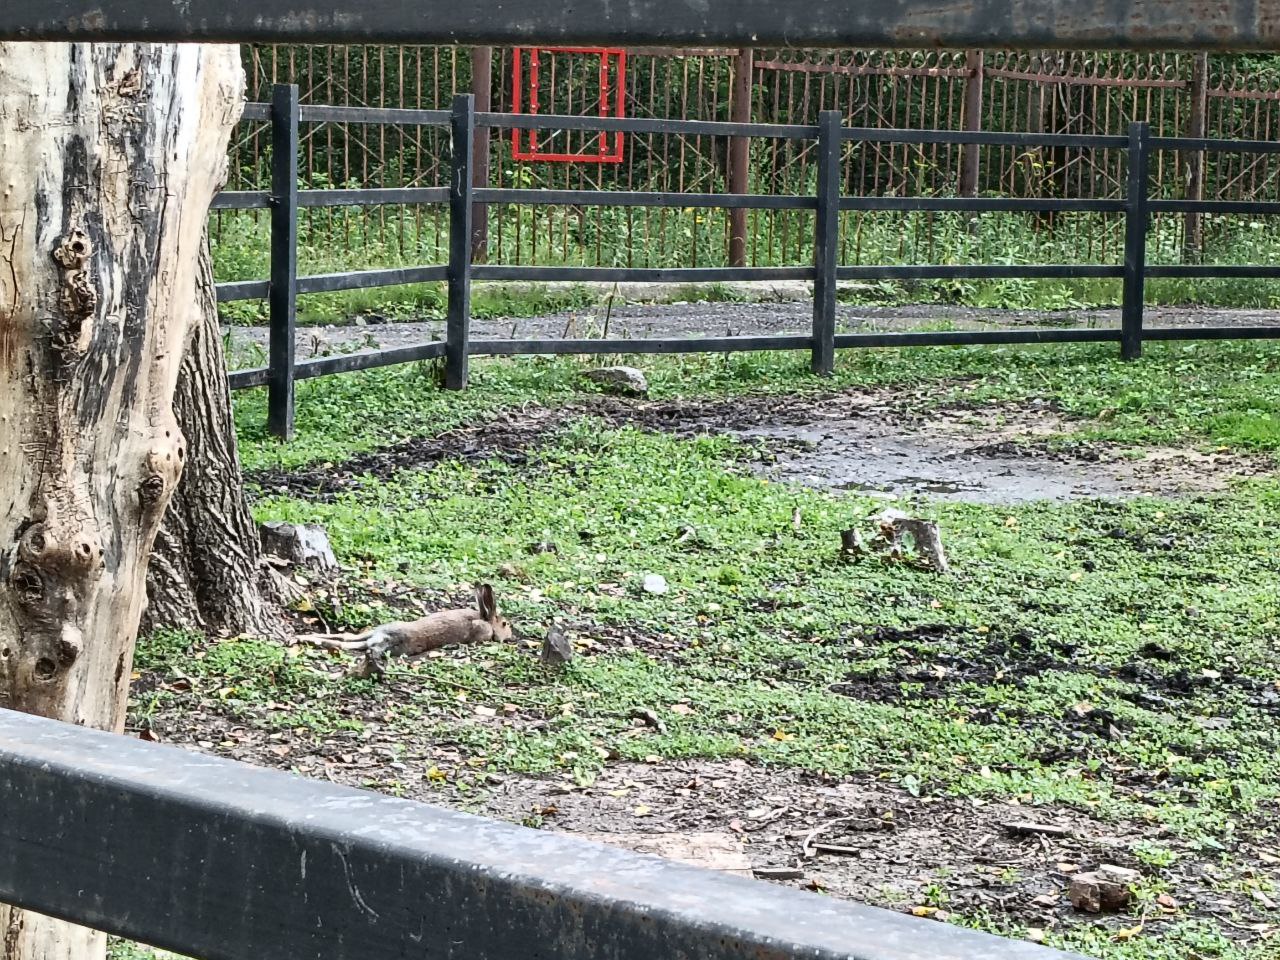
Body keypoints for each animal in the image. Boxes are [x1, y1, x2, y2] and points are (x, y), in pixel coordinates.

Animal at [298, 584, 511, 672]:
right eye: (504, 623)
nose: (509, 636)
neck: (484, 619)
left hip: (376, 635)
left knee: (347, 641)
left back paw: (305, 638)